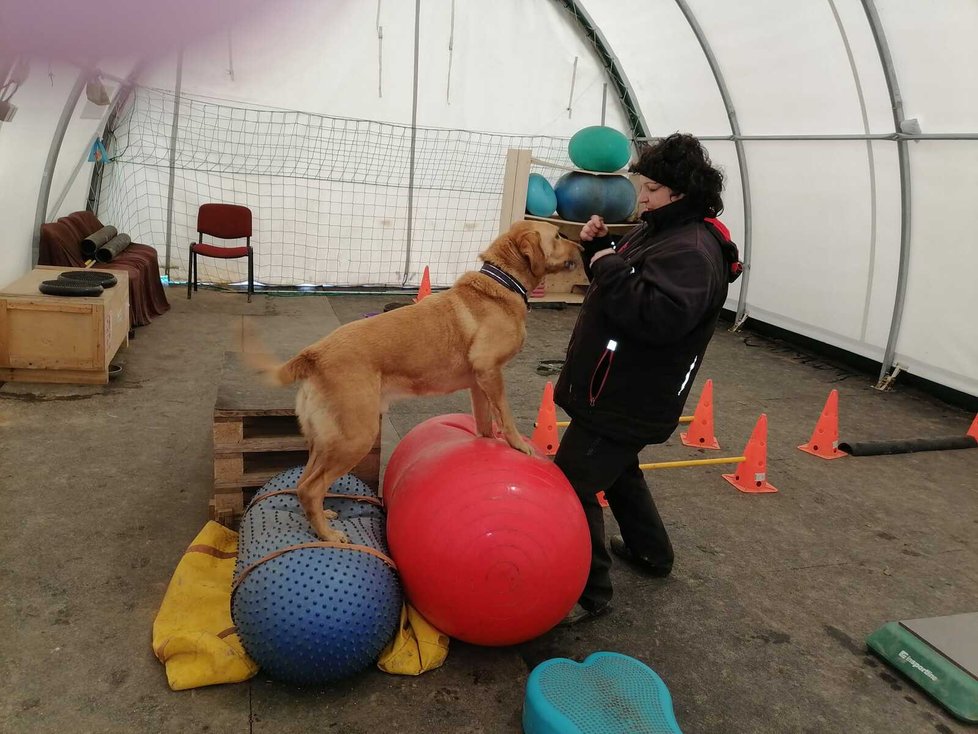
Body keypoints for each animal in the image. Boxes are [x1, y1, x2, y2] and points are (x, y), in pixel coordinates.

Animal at [248, 221, 580, 544]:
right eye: (558, 235)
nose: (582, 246)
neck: (503, 282)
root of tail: (314, 354)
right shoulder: (490, 371)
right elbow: (507, 417)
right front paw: (518, 446)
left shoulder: (479, 383)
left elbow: (485, 424)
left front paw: (488, 443)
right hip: (356, 437)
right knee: (310, 488)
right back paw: (328, 535)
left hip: (324, 441)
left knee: (303, 483)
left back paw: (322, 519)